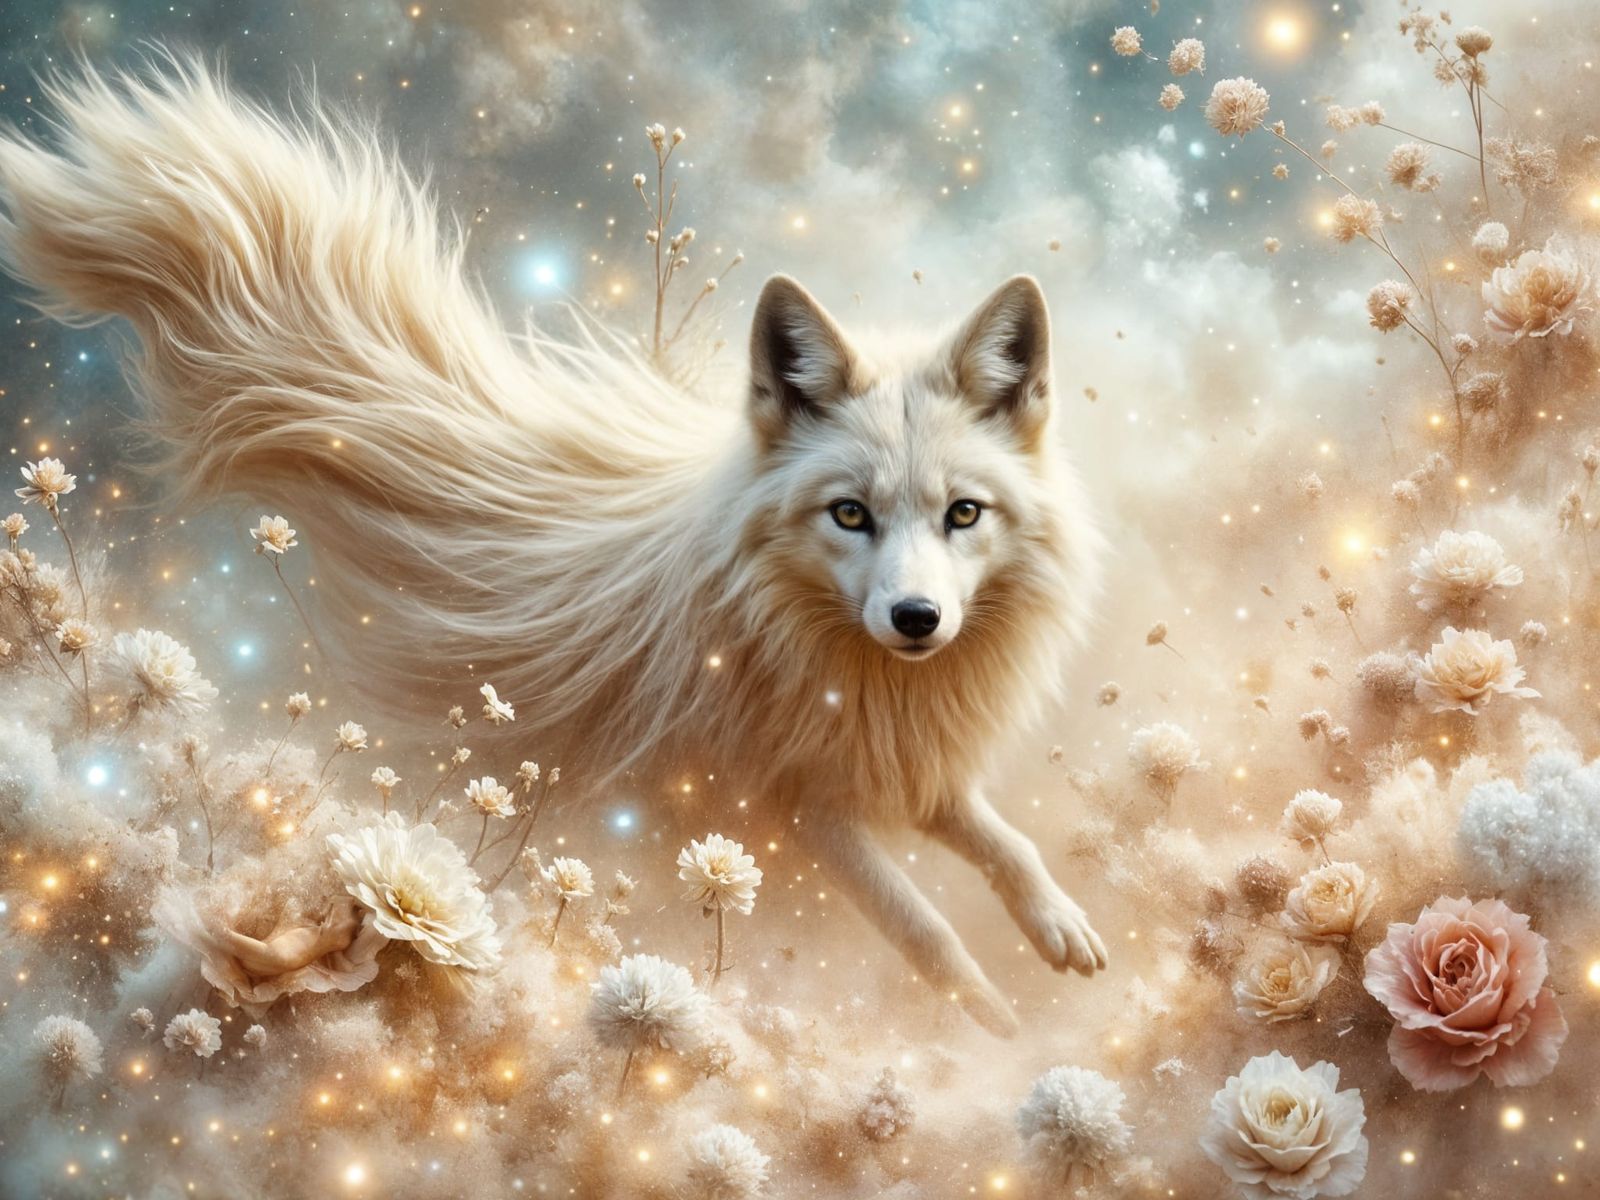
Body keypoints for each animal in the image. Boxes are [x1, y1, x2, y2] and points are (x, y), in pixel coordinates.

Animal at [0, 59, 1107, 1035]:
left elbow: (1005, 844)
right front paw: (992, 1022)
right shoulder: (796, 800)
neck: (860, 677)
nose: (916, 619)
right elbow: (922, 927)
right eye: (848, 515)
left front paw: (1061, 929)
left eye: (963, 514)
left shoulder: (910, 763)